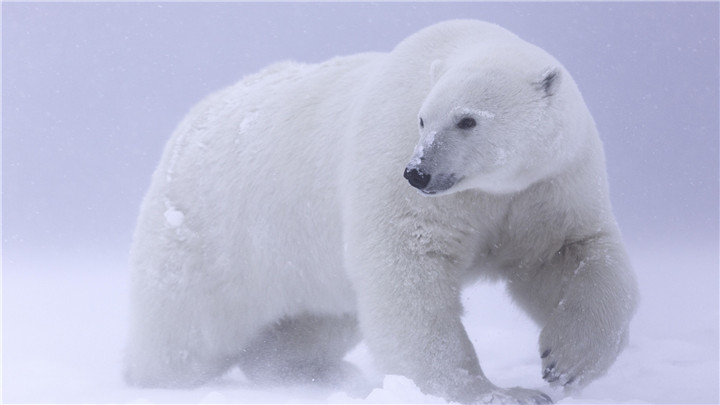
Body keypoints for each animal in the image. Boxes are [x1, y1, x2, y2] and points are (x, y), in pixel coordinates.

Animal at [124, 19, 636, 404]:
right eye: (423, 119)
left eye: (468, 120)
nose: (418, 172)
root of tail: (190, 124)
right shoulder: (397, 167)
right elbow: (408, 276)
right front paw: (500, 393)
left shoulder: (546, 187)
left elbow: (569, 256)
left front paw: (566, 363)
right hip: (211, 235)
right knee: (186, 332)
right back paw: (150, 377)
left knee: (315, 322)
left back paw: (317, 371)